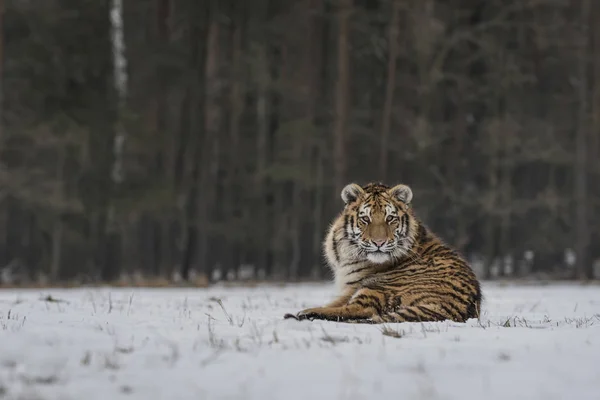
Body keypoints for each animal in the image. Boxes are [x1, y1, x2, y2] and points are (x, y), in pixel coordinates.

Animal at [284, 183, 480, 324]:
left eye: (390, 218)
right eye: (365, 219)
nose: (379, 243)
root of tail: (455, 309)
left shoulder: (353, 286)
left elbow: (339, 304)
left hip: (379, 286)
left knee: (361, 310)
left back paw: (304, 313)